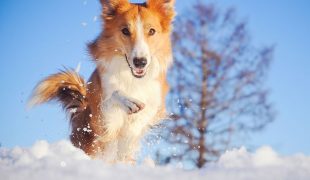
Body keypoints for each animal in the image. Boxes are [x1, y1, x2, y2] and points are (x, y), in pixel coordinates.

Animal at [30, 0, 176, 163]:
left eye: (151, 31)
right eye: (125, 31)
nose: (140, 62)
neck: (132, 79)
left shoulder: (153, 105)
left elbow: (133, 131)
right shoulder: (102, 117)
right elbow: (113, 96)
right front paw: (127, 101)